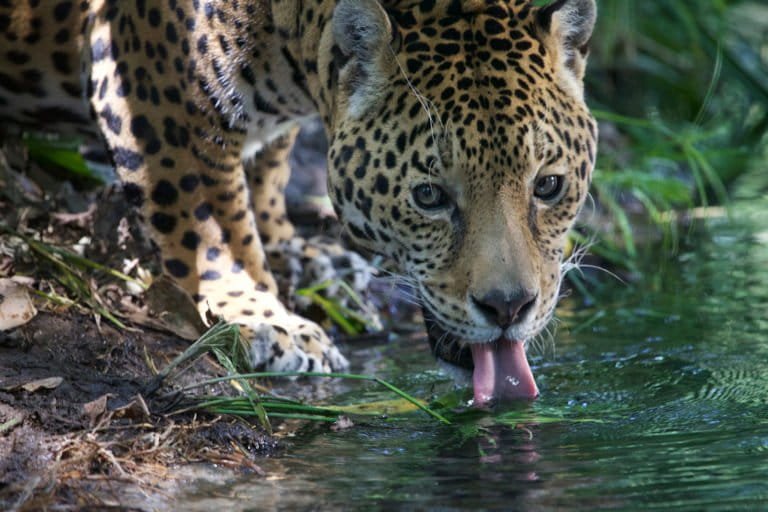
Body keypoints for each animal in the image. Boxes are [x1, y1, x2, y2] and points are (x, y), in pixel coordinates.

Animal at [0, 0, 598, 405]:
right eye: (429, 196)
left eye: (548, 186)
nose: (508, 309)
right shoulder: (162, 98)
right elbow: (210, 224)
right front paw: (264, 317)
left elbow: (266, 168)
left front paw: (302, 258)